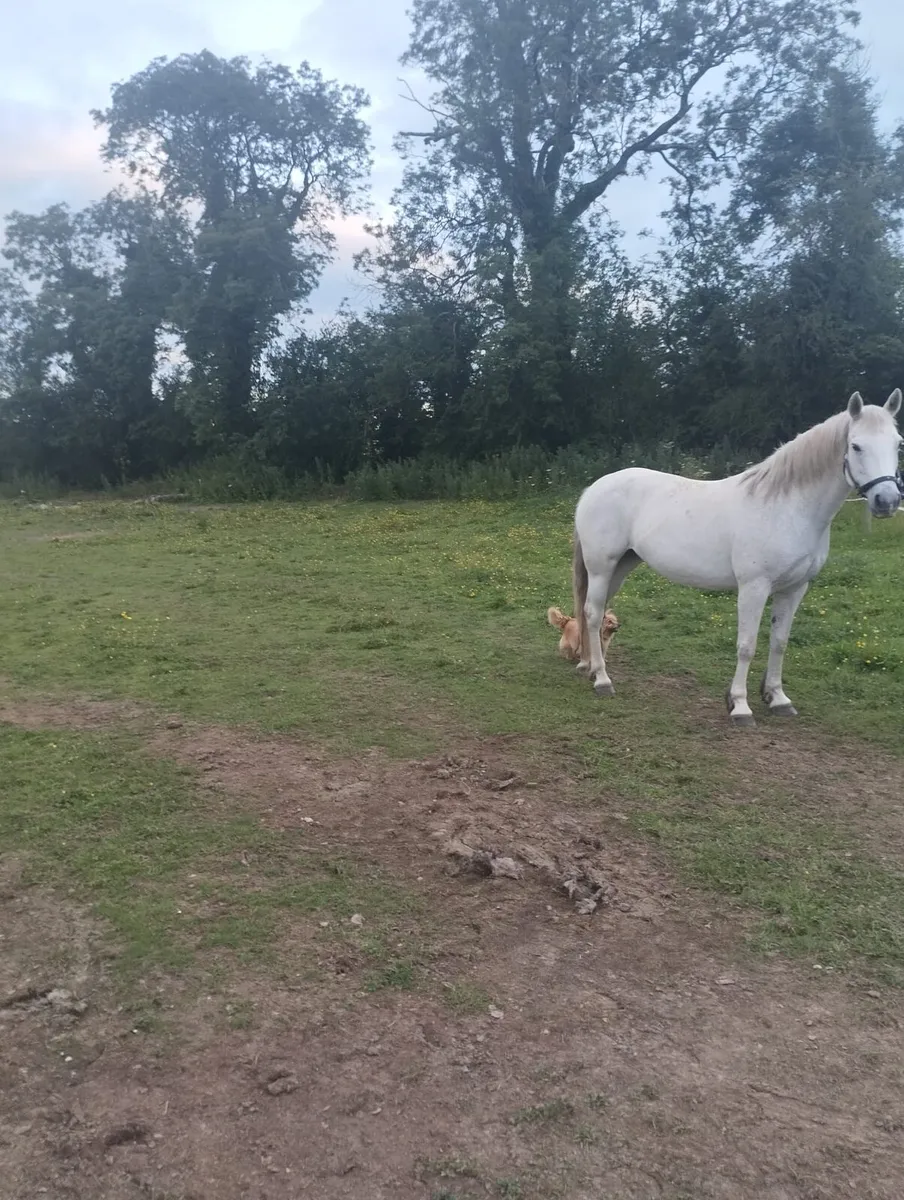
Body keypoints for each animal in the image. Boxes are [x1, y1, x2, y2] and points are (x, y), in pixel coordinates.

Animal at [572, 390, 903, 726]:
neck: (787, 508)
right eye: (856, 446)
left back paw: (589, 666)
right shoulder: (754, 587)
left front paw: (778, 698)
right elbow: (747, 645)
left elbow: (780, 642)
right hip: (601, 567)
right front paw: (740, 706)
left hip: (621, 566)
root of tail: (594, 488)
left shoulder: (795, 588)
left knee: (593, 611)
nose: (887, 501)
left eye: (897, 444)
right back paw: (602, 680)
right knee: (593, 613)